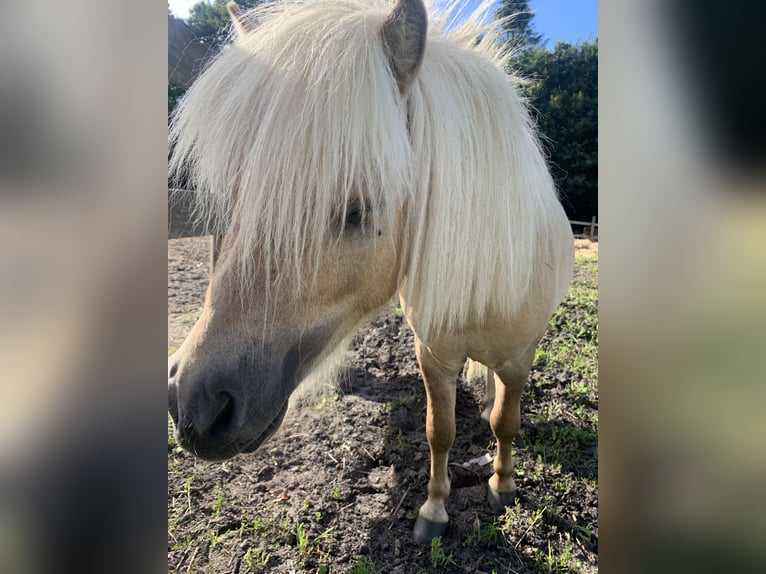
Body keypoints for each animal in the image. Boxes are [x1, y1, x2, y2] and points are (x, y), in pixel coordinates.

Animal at [170, 0, 576, 544]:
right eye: (236, 199)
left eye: (358, 210)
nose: (195, 405)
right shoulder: (434, 356)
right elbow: (439, 432)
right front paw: (433, 511)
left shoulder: (519, 358)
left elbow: (504, 423)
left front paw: (502, 486)